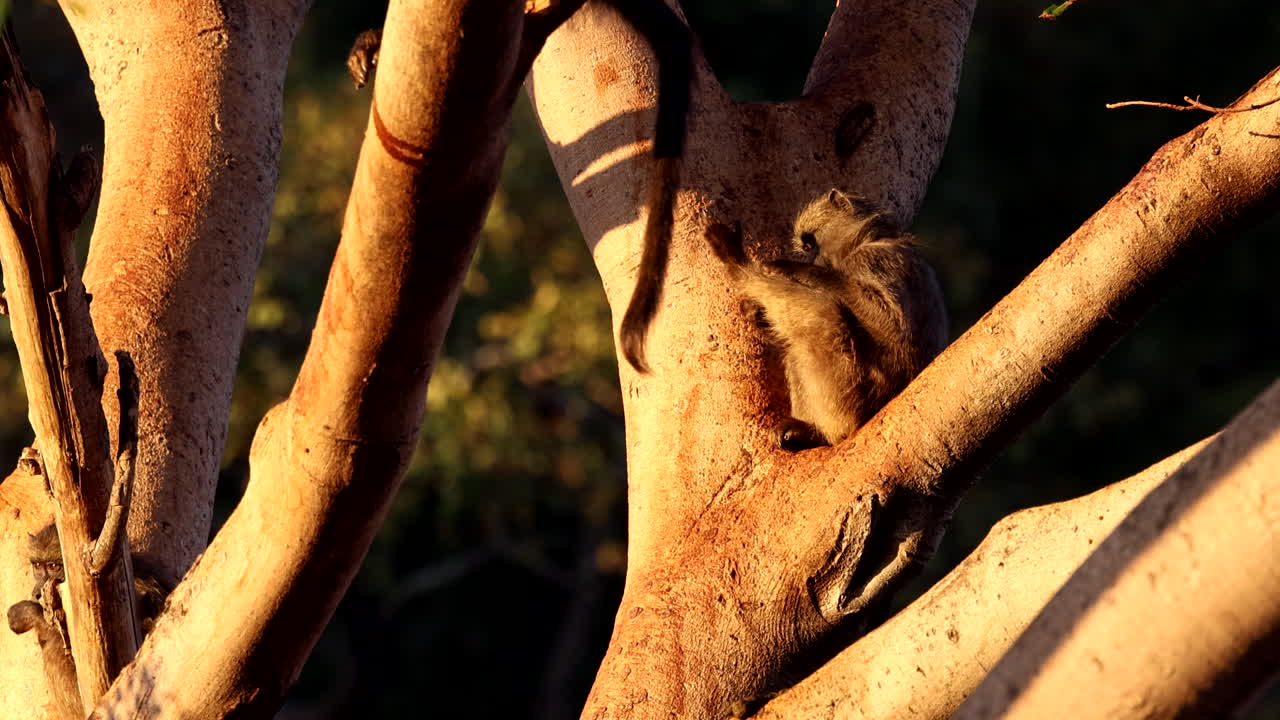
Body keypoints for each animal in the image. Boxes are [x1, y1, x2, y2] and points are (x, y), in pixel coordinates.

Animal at [705, 189, 948, 450]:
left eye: (811, 243)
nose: (815, 261)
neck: (871, 239)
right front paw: (755, 312)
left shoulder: (873, 260)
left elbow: (891, 323)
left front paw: (799, 271)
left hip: (862, 391)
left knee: (823, 313)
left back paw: (738, 266)